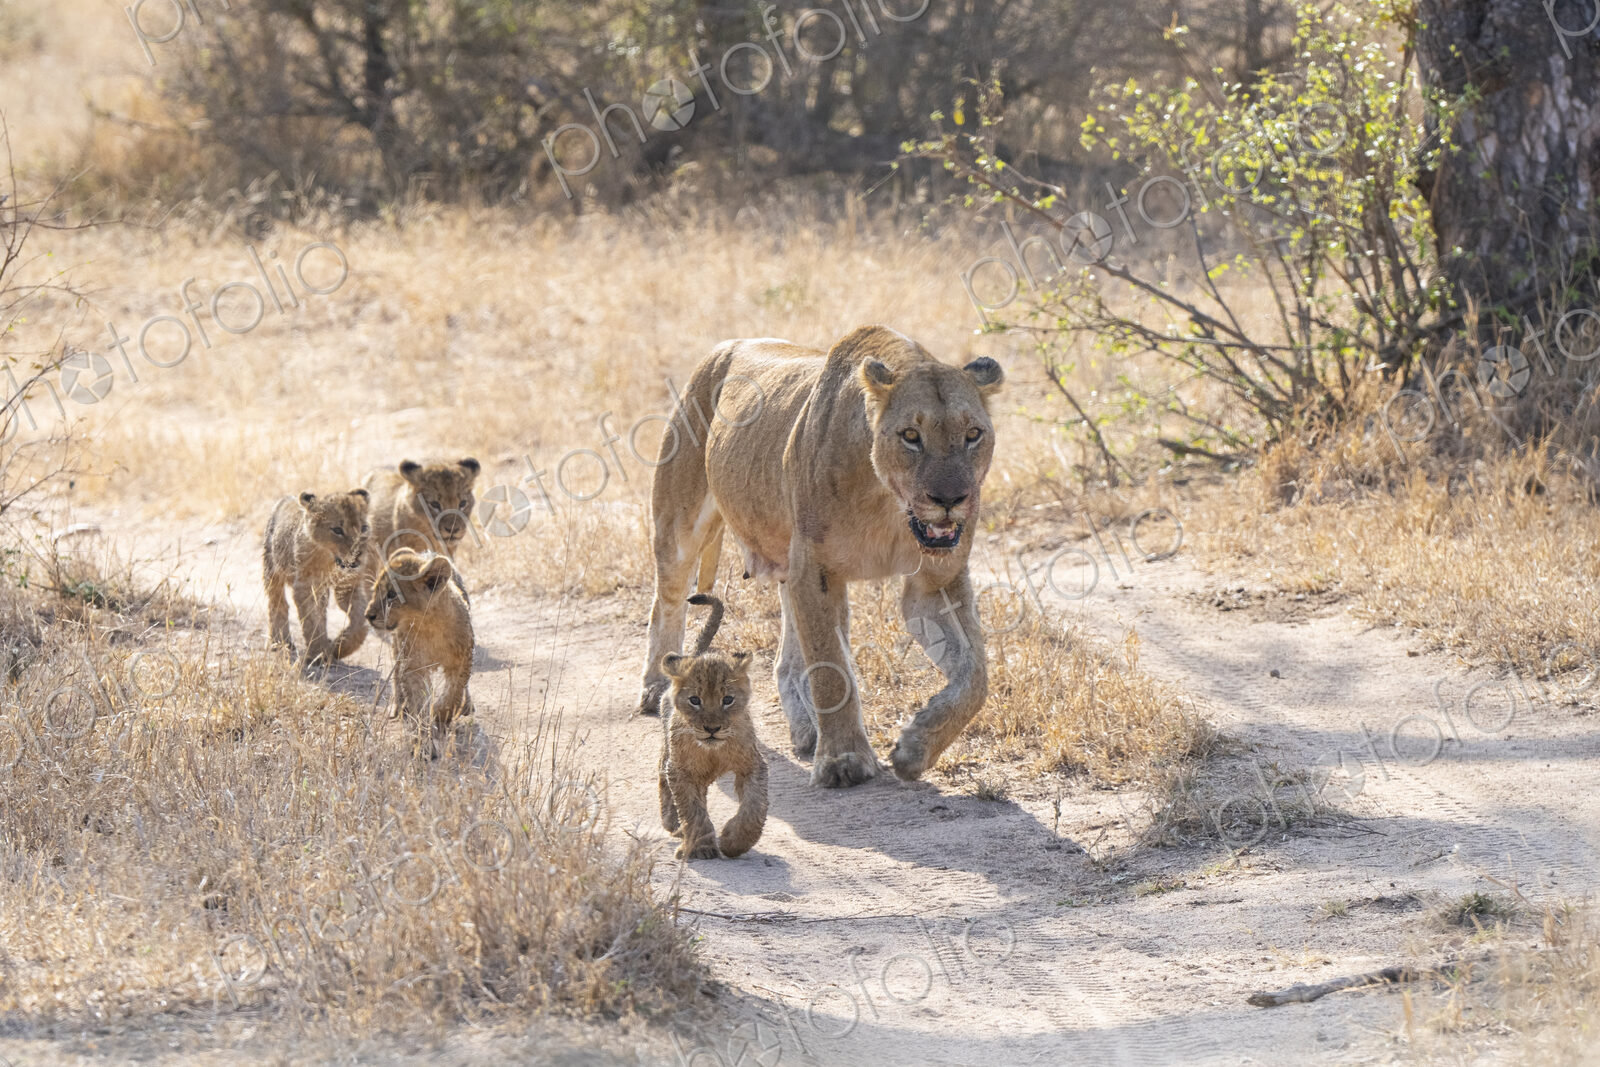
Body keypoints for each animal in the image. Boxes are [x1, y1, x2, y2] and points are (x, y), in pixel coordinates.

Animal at [262, 488, 372, 665]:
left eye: (363, 528)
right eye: (337, 530)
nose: (358, 554)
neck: (329, 561)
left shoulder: (349, 586)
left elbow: (360, 622)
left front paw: (339, 648)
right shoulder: (305, 587)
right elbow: (311, 621)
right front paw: (316, 654)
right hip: (272, 568)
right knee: (277, 603)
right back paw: (280, 641)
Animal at [365, 548, 475, 740]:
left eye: (391, 594)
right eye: (375, 591)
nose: (368, 615)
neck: (429, 624)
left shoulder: (462, 659)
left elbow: (454, 690)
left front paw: (441, 714)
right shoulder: (413, 664)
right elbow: (417, 696)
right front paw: (423, 729)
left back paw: (466, 705)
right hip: (397, 647)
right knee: (396, 675)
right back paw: (398, 707)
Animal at [637, 325, 1003, 789]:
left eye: (973, 434)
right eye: (911, 436)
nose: (950, 500)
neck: (887, 502)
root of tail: (725, 347)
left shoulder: (934, 584)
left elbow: (975, 677)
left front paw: (914, 749)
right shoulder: (816, 570)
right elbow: (831, 670)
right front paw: (843, 762)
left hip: (784, 561)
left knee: (786, 661)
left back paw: (807, 732)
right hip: (679, 523)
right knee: (666, 601)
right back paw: (658, 690)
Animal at [657, 593, 767, 860]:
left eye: (728, 700)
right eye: (695, 700)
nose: (712, 729)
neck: (713, 751)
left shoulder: (753, 765)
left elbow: (754, 807)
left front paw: (733, 842)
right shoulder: (681, 771)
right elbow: (693, 810)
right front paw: (702, 848)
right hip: (668, 751)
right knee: (662, 776)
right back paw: (672, 822)